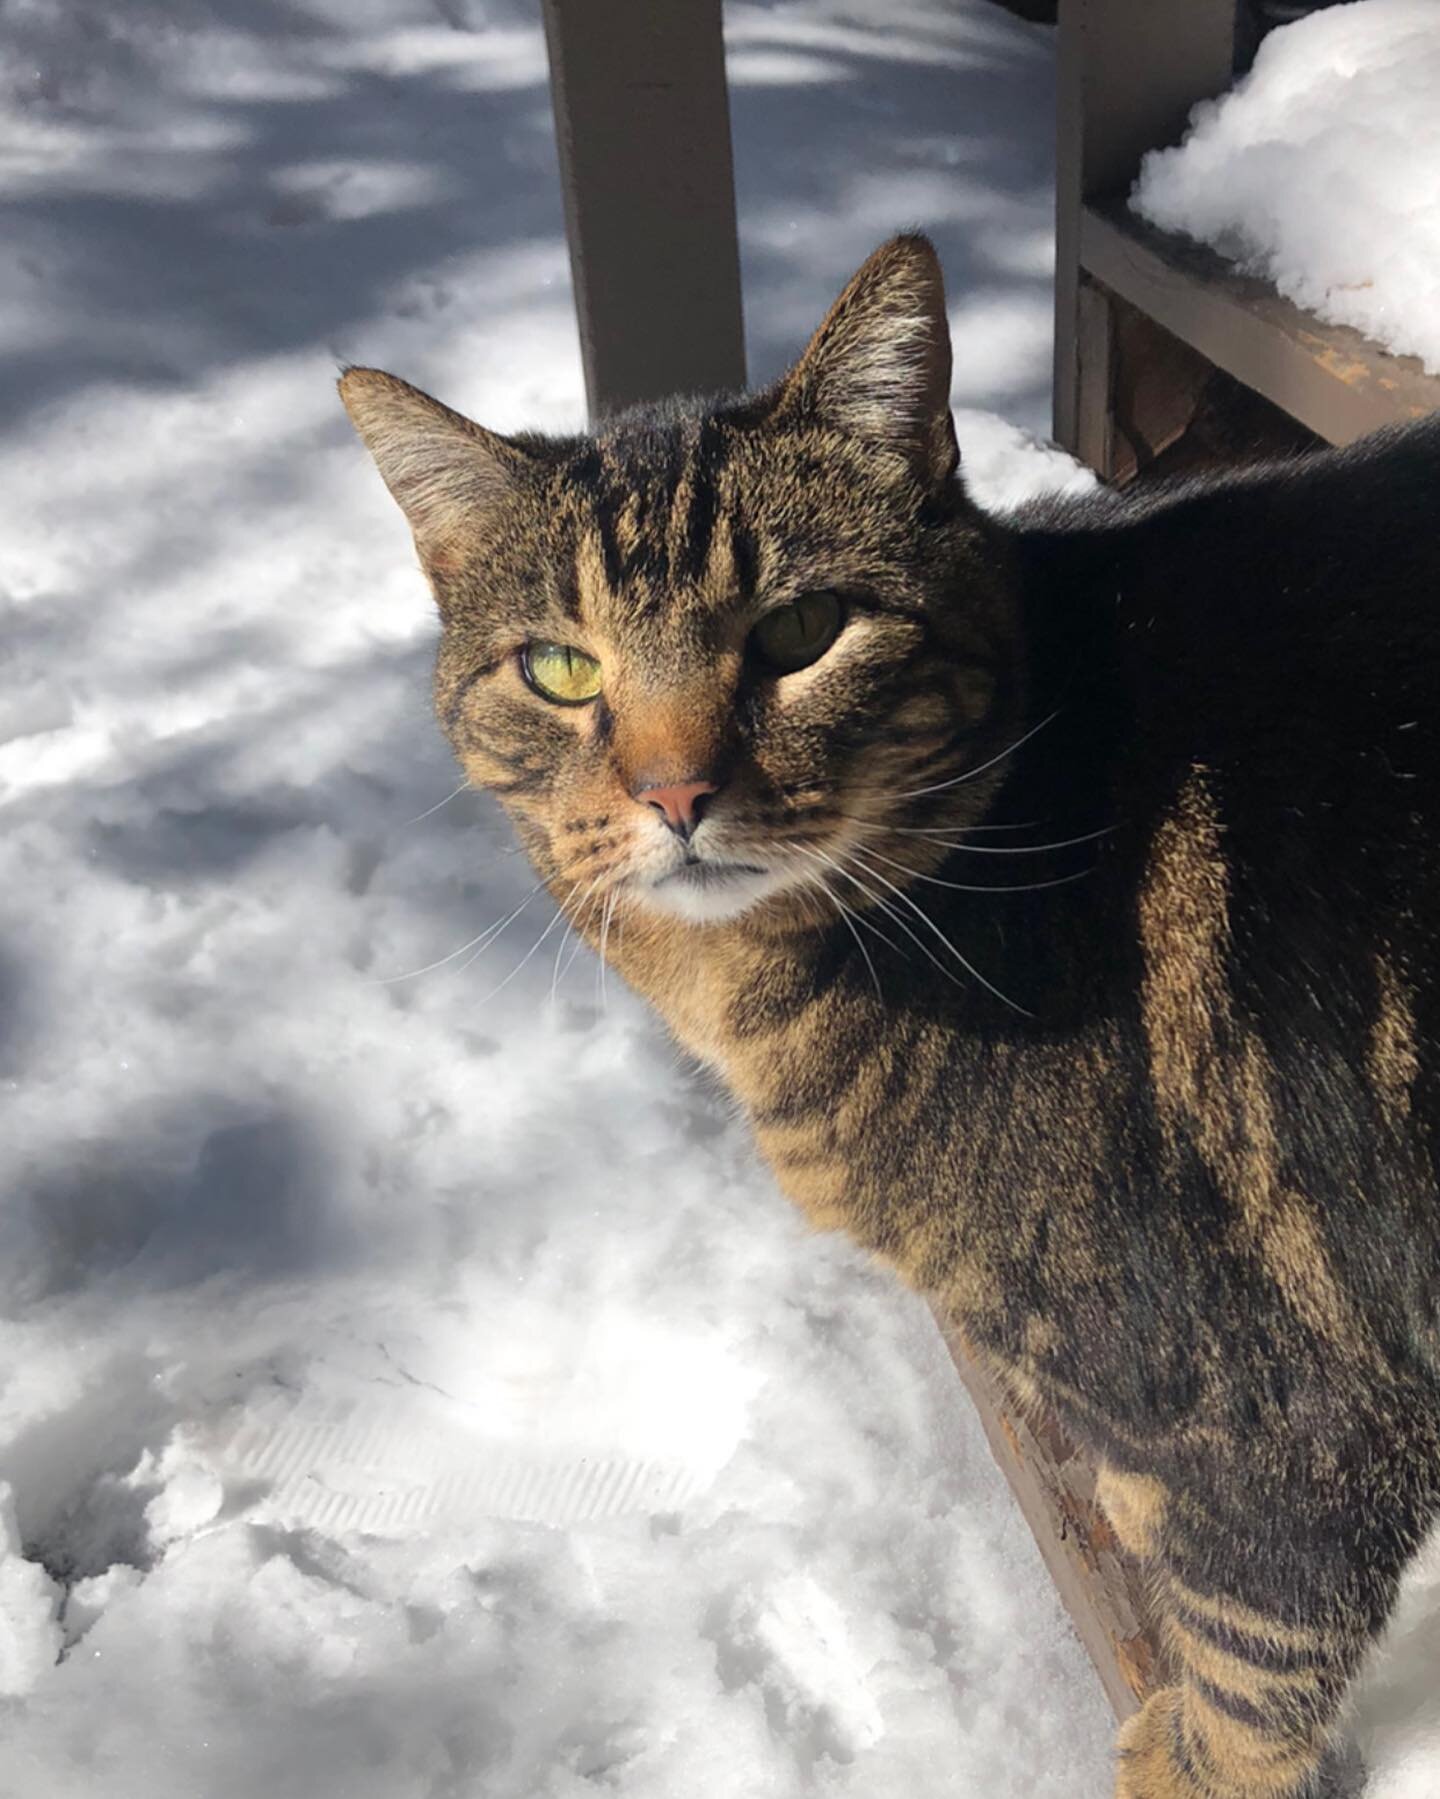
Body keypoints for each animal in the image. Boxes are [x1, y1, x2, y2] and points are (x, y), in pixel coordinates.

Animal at [343, 242, 1440, 1799]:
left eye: (801, 632)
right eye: (560, 668)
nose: (675, 792)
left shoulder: (1295, 1418)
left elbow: (1244, 1671)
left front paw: (1174, 1747)